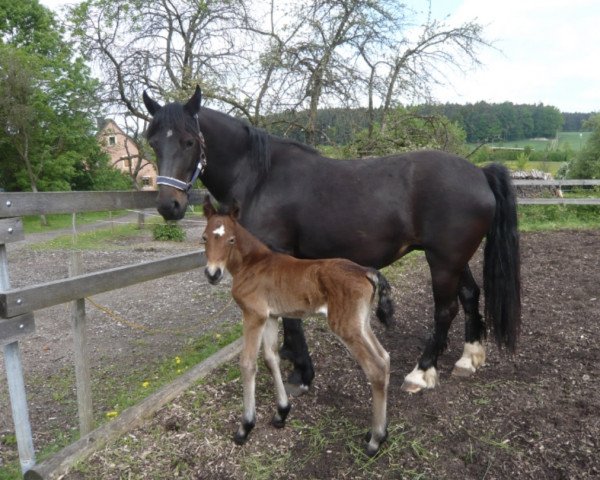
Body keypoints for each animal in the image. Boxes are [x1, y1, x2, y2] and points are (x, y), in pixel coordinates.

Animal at [142, 86, 520, 394]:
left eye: (189, 141)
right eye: (153, 142)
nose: (168, 205)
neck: (259, 176)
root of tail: (480, 172)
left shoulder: (279, 255)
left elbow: (291, 318)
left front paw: (301, 374)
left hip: (443, 260)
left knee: (446, 309)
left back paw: (421, 373)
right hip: (453, 259)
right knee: (470, 295)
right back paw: (469, 358)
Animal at [203, 197, 394, 456]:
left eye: (231, 239)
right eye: (204, 237)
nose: (212, 273)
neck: (253, 264)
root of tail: (366, 271)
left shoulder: (253, 315)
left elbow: (248, 363)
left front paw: (245, 427)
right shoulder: (271, 317)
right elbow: (271, 358)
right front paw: (281, 413)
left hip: (345, 326)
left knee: (375, 368)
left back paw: (374, 440)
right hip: (361, 323)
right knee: (384, 357)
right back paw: (381, 432)